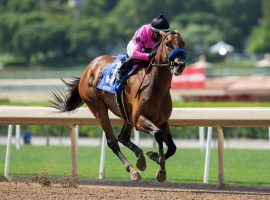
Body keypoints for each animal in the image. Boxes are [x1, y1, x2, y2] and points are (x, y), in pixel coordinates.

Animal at [51, 30, 185, 182]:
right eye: (167, 44)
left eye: (183, 43)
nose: (179, 64)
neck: (155, 87)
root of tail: (87, 69)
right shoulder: (139, 120)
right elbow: (157, 134)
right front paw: (161, 170)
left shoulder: (162, 121)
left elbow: (172, 147)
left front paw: (154, 157)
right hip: (99, 108)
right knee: (112, 141)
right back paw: (133, 170)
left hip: (127, 115)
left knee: (123, 137)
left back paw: (140, 159)